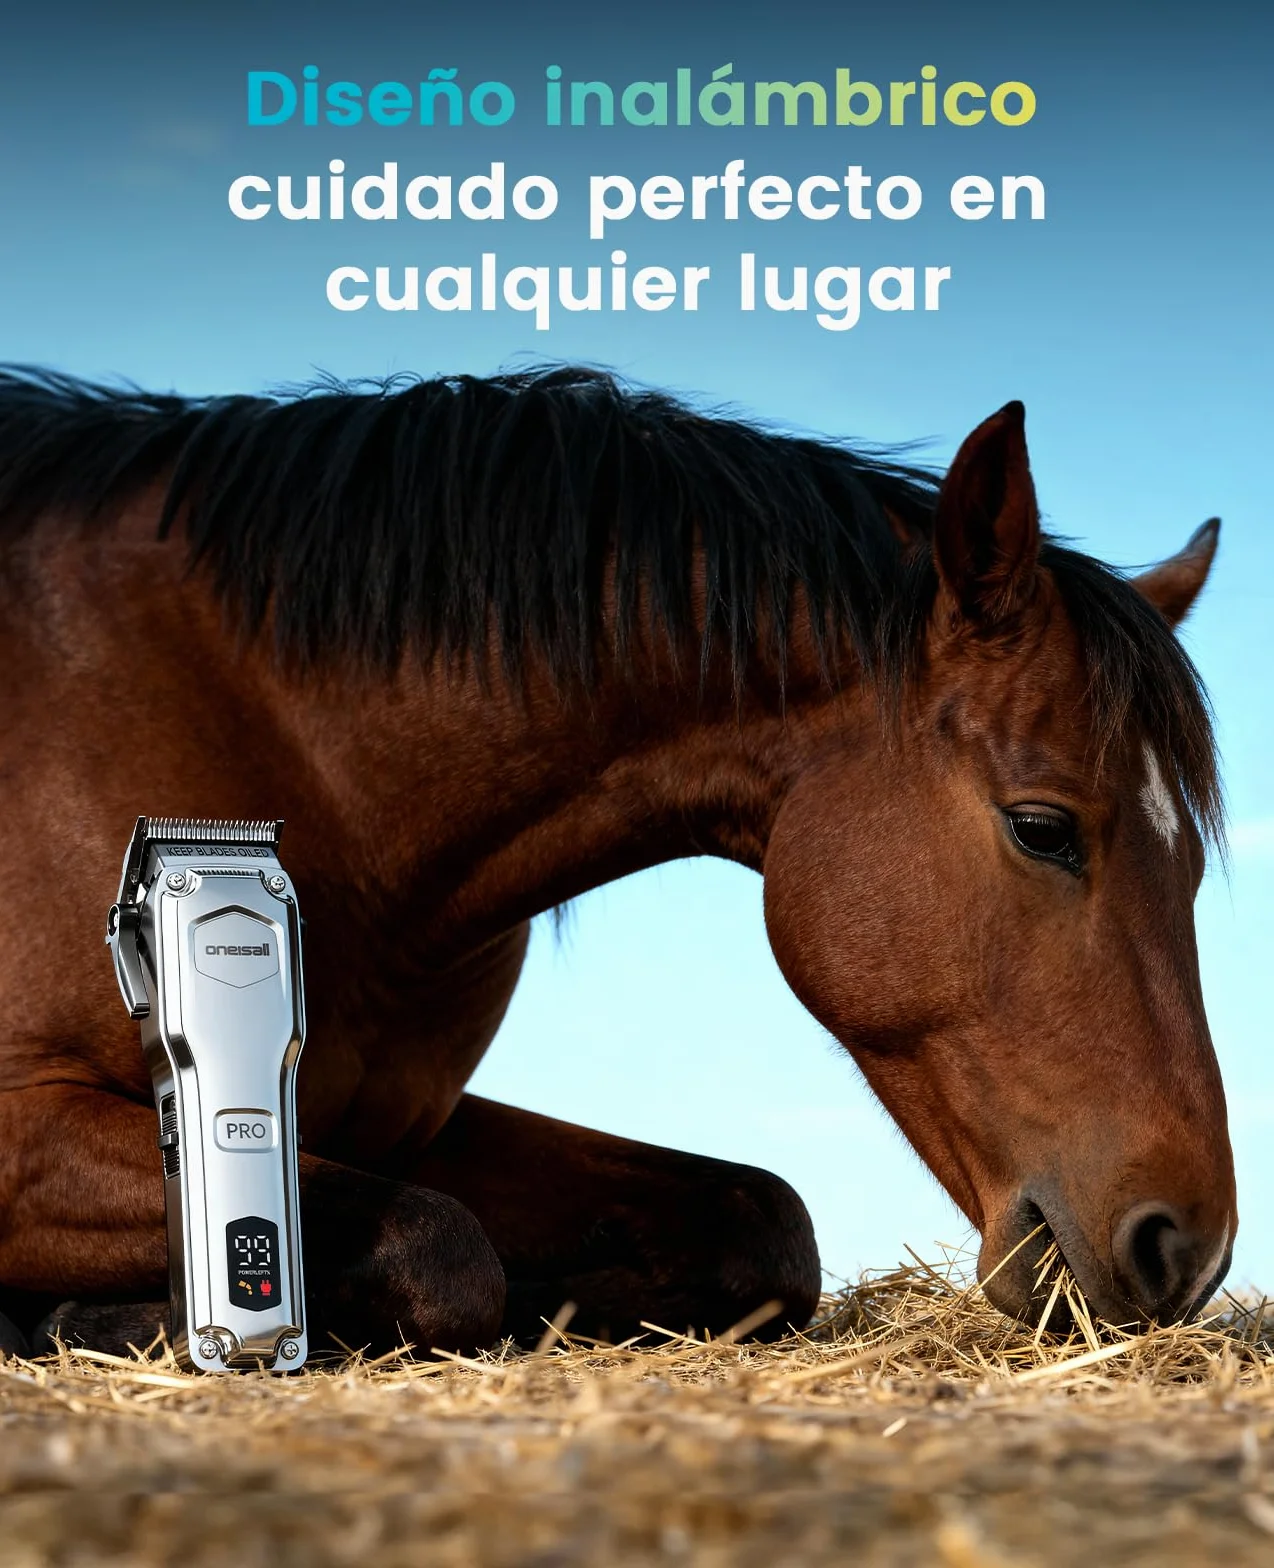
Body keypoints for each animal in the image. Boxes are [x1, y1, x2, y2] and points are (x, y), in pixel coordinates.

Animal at [0, 365, 1235, 1359]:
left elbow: (761, 1218)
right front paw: (78, 1315)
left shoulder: (408, 1123)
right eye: (1042, 827)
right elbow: (437, 1242)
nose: (1188, 1246)